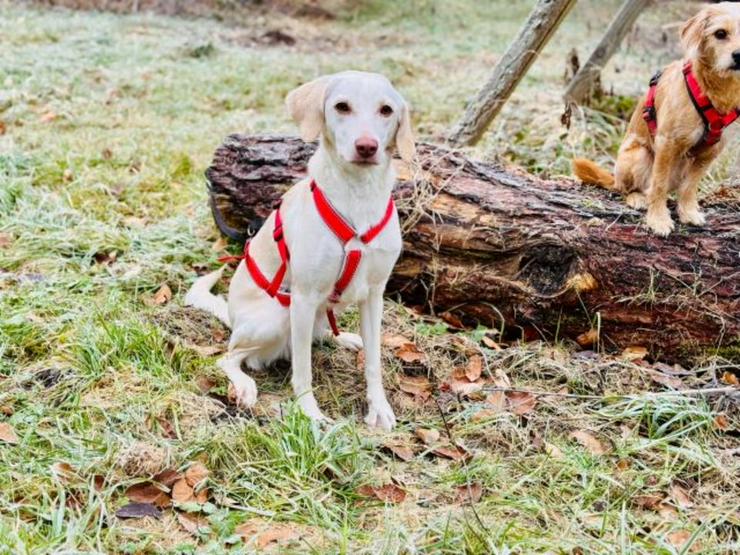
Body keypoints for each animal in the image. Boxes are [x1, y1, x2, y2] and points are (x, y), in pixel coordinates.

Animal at [185, 71, 416, 432]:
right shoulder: (304, 298)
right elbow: (303, 369)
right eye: (342, 106)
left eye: (386, 110)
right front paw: (310, 414)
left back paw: (344, 337)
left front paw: (379, 407)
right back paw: (245, 385)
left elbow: (374, 362)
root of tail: (233, 317)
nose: (367, 147)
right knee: (231, 355)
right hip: (277, 316)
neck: (358, 195)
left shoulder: (374, 295)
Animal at [576, 2, 740, 237]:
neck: (715, 91)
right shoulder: (667, 143)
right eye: (720, 33)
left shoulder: (710, 152)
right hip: (640, 155)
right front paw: (658, 220)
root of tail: (614, 177)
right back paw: (637, 198)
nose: (739, 56)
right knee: (629, 189)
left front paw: (688, 212)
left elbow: (690, 186)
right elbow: (659, 184)